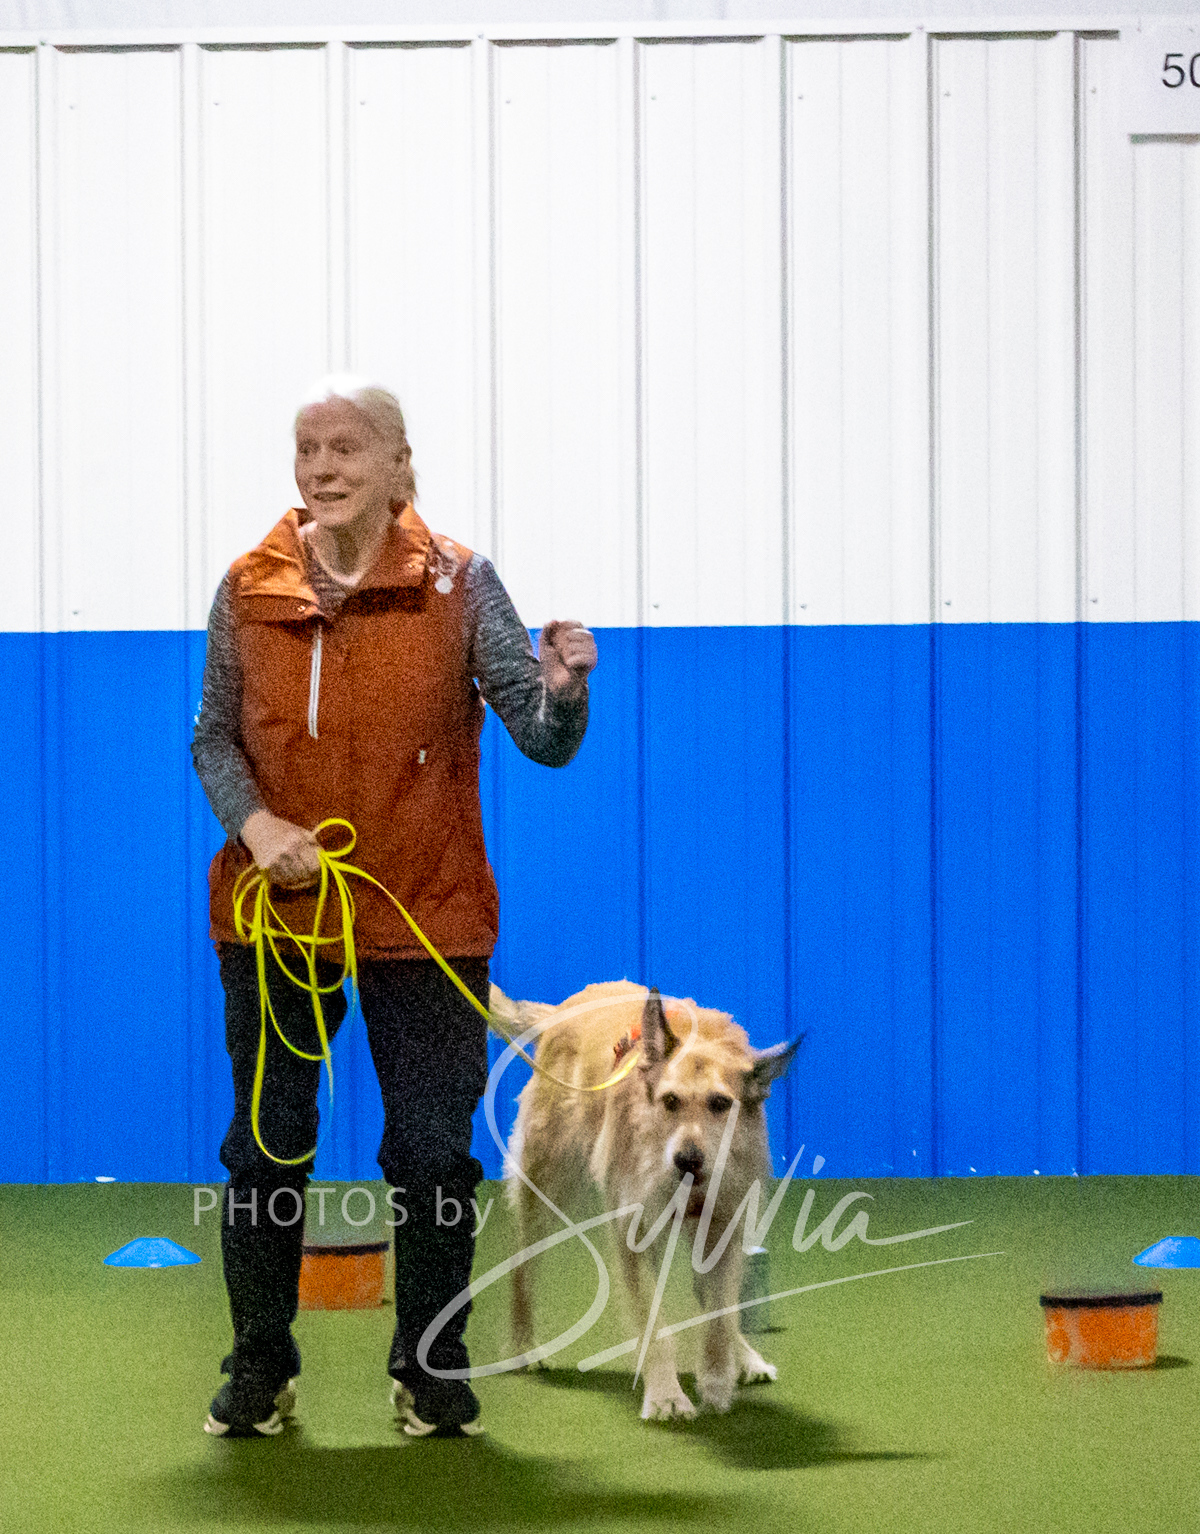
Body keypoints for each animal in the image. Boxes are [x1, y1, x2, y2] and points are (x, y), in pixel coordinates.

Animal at [494, 980, 801, 1420]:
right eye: (670, 1101)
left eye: (721, 1104)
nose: (687, 1160)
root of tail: (563, 1010)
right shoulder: (634, 1236)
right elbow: (655, 1326)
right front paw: (666, 1395)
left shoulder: (725, 1226)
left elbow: (721, 1313)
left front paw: (717, 1377)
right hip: (544, 1189)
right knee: (523, 1268)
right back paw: (523, 1347)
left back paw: (744, 1357)